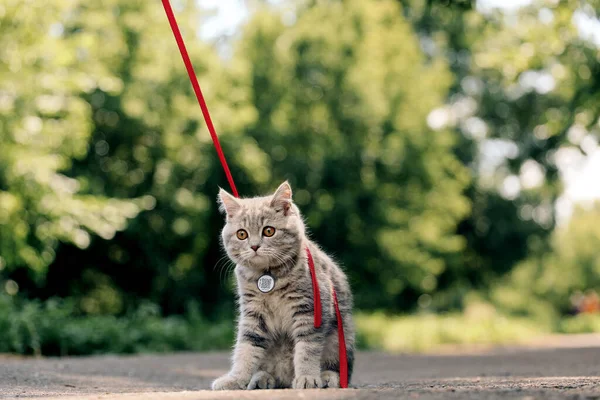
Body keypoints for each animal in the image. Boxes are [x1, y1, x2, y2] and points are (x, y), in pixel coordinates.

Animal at [211, 183, 354, 390]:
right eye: (242, 234)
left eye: (269, 231)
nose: (254, 246)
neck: (269, 275)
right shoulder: (253, 314)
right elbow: (246, 348)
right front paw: (235, 379)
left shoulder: (310, 309)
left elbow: (307, 348)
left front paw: (307, 377)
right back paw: (262, 378)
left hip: (340, 339)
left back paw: (327, 377)